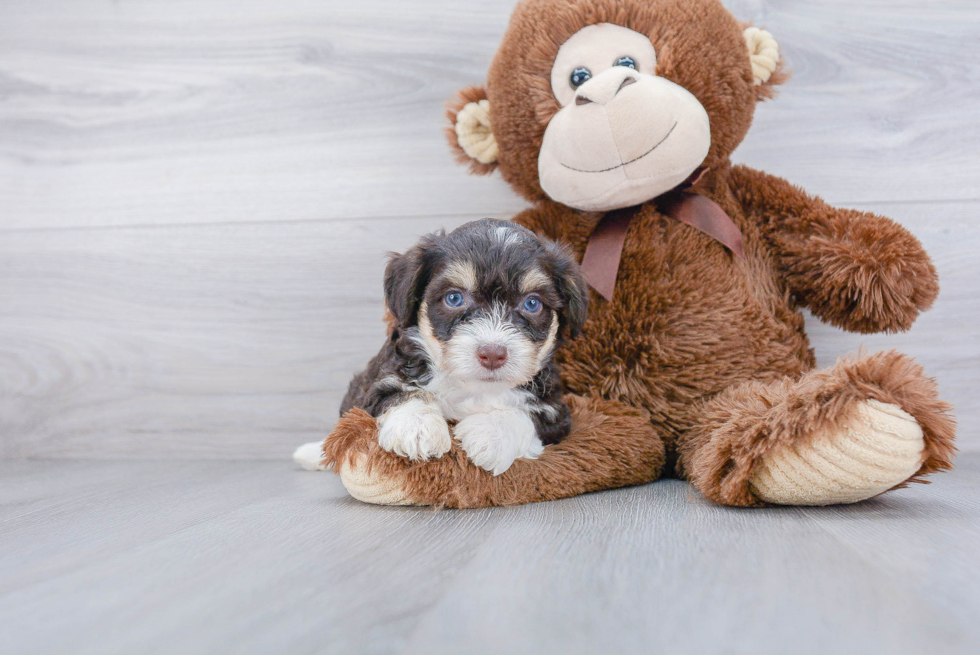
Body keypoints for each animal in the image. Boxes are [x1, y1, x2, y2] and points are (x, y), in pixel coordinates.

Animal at [334, 220, 584, 476]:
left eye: (532, 303)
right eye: (454, 298)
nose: (492, 354)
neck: (473, 388)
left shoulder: (555, 409)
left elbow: (529, 415)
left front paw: (490, 434)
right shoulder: (376, 384)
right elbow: (397, 392)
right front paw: (417, 427)